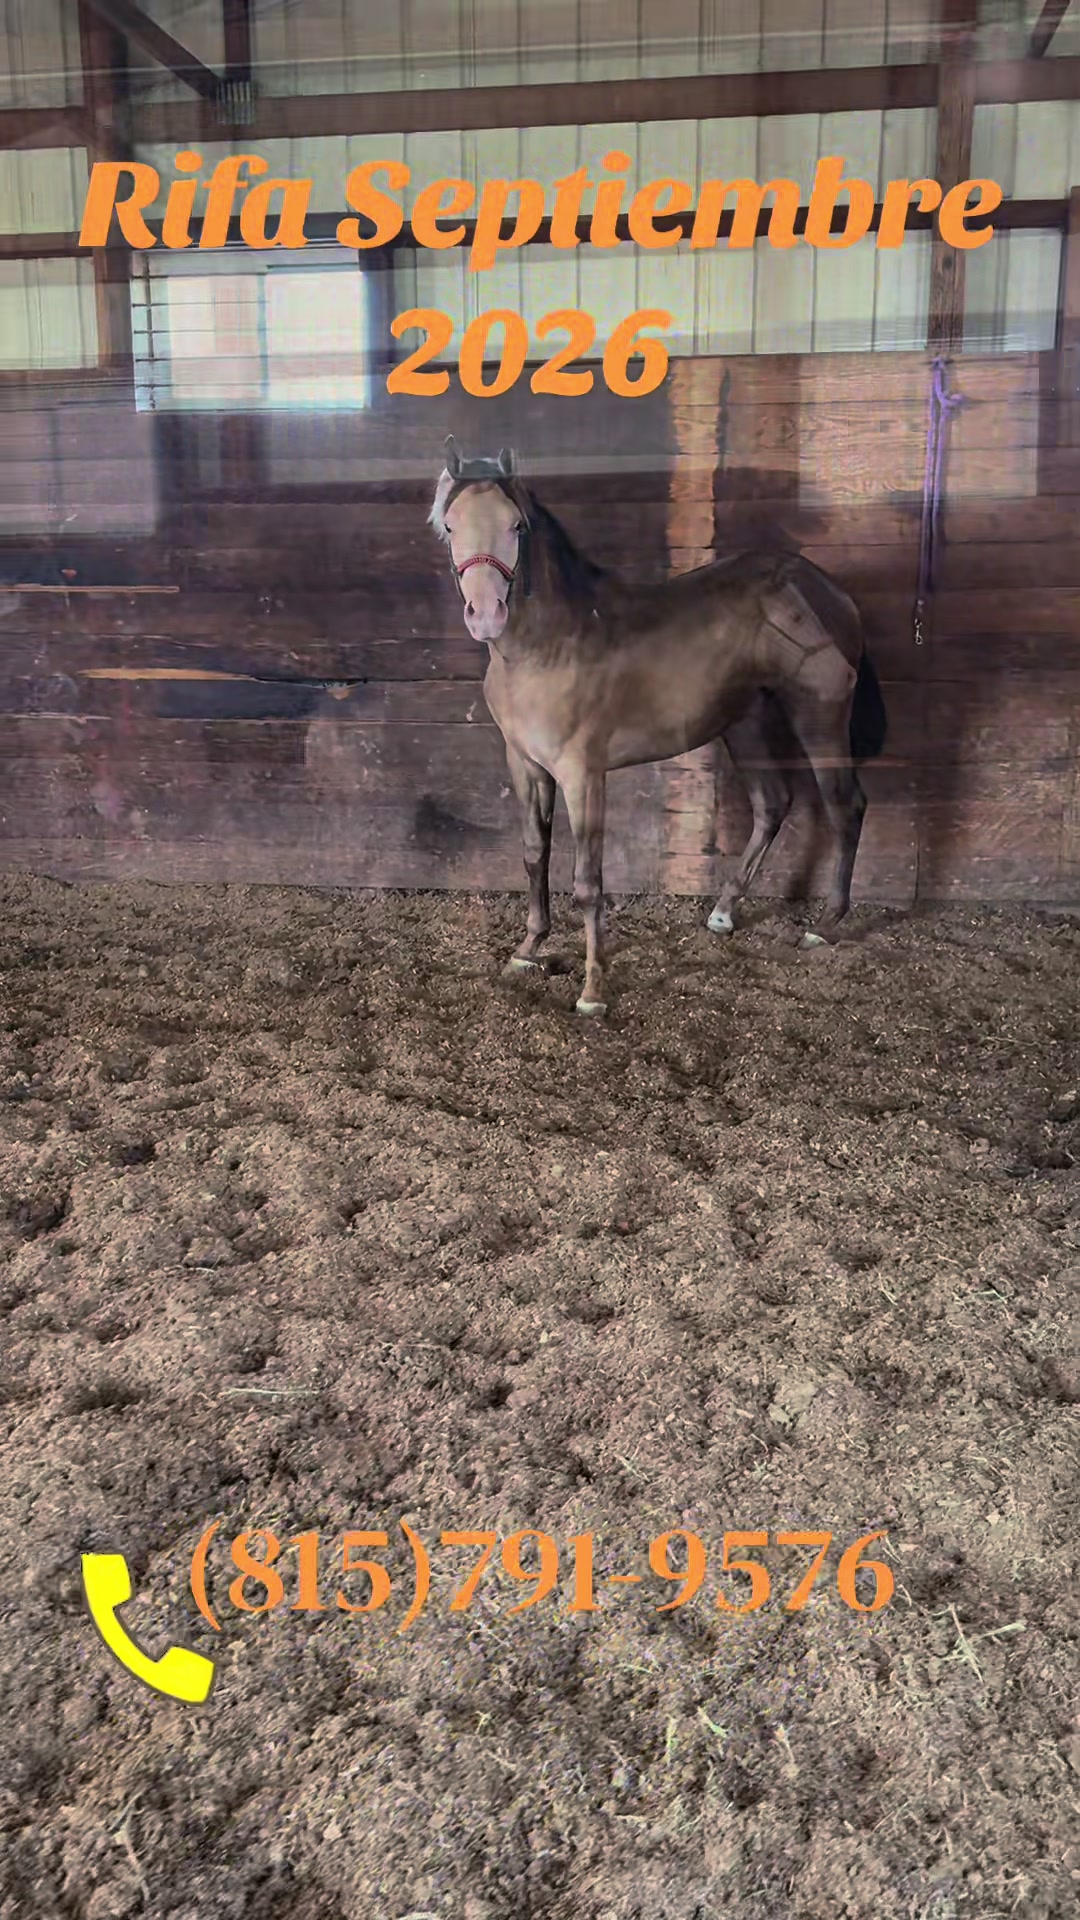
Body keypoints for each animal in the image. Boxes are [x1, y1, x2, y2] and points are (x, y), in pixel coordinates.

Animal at [429, 436, 887, 1016]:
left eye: (517, 526)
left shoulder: (582, 773)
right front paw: (527, 950)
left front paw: (593, 991)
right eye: (450, 525)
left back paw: (825, 926)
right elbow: (535, 855)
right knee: (773, 804)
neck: (550, 645)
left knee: (844, 806)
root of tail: (827, 589)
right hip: (745, 722)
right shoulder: (526, 764)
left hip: (819, 718)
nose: (486, 613)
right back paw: (723, 912)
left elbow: (587, 882)